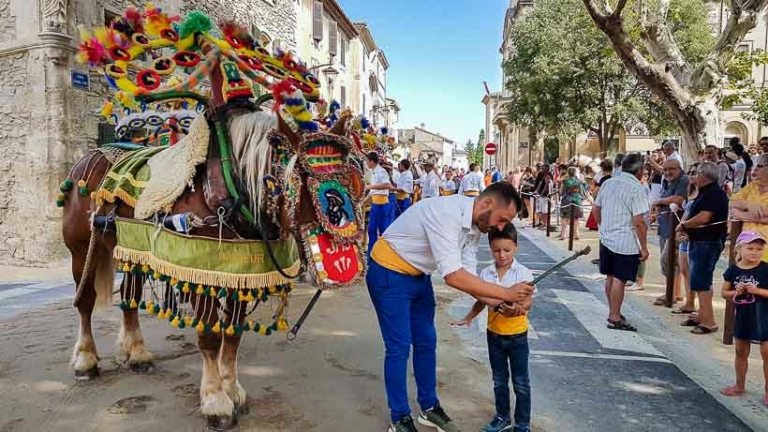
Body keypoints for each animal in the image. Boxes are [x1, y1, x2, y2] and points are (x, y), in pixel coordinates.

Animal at [58, 5, 364, 428]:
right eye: (303, 179)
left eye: (351, 177)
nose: (344, 258)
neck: (229, 183)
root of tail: (90, 158)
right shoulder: (200, 267)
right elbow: (209, 336)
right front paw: (216, 401)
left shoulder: (240, 271)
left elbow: (233, 333)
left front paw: (233, 391)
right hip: (80, 247)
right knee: (86, 300)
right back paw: (86, 360)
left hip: (129, 248)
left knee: (130, 299)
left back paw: (137, 353)